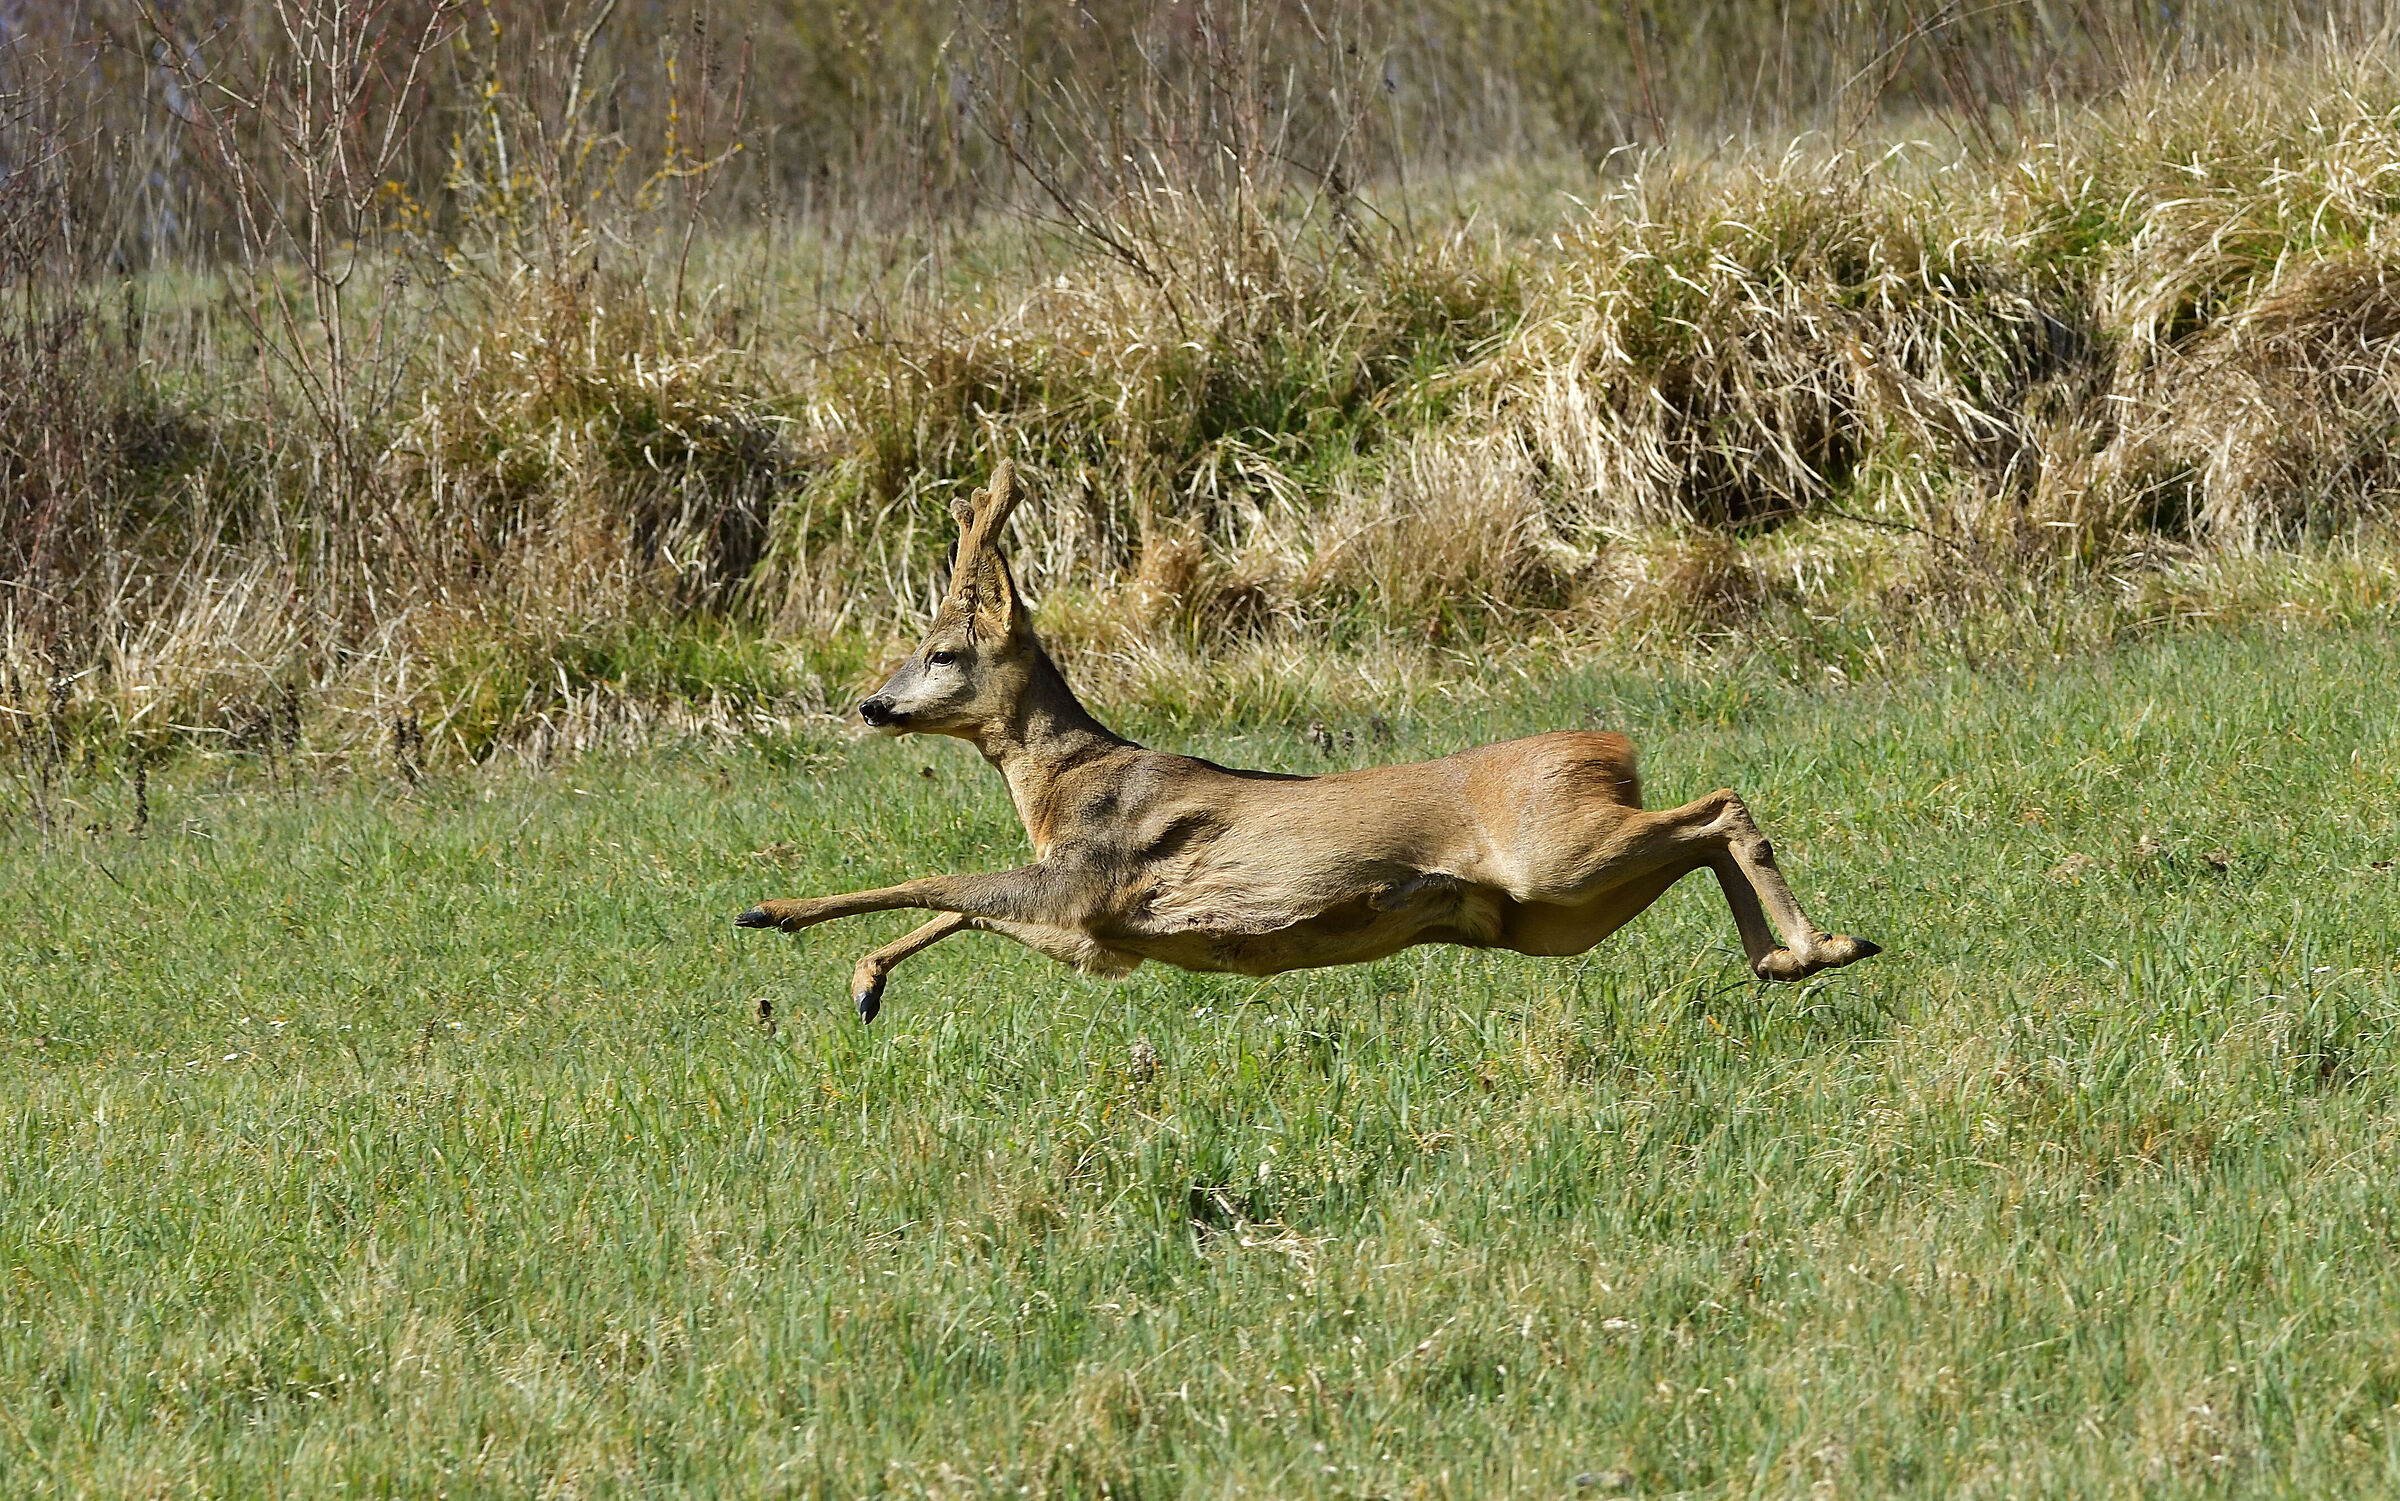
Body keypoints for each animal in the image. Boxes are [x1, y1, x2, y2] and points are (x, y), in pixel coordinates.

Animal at [737, 461, 1881, 1020]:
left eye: (940, 651)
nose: (871, 706)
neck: (1063, 783)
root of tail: (1608, 743)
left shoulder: (1094, 877)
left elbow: (938, 882)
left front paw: (773, 912)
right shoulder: (1094, 931)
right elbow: (962, 907)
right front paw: (865, 983)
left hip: (1557, 851)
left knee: (1720, 804)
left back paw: (1822, 944)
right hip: (1550, 913)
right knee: (1696, 835)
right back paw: (1796, 956)